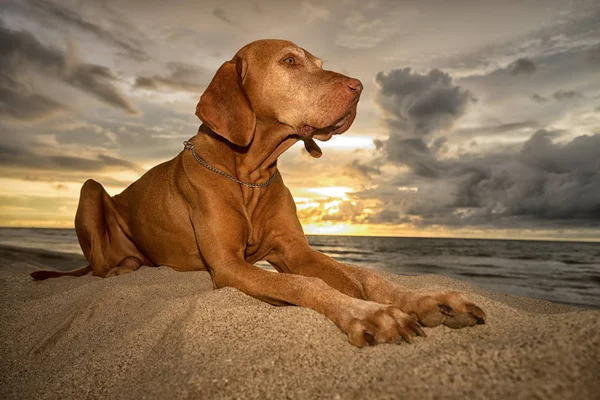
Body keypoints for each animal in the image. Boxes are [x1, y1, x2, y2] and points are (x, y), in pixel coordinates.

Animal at [30, 39, 486, 346]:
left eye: (320, 63)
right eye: (290, 61)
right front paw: (368, 313)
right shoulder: (228, 266)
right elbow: (306, 286)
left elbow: (366, 275)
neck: (248, 173)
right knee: (99, 264)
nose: (359, 86)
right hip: (90, 190)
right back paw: (123, 268)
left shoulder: (295, 251)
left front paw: (428, 299)